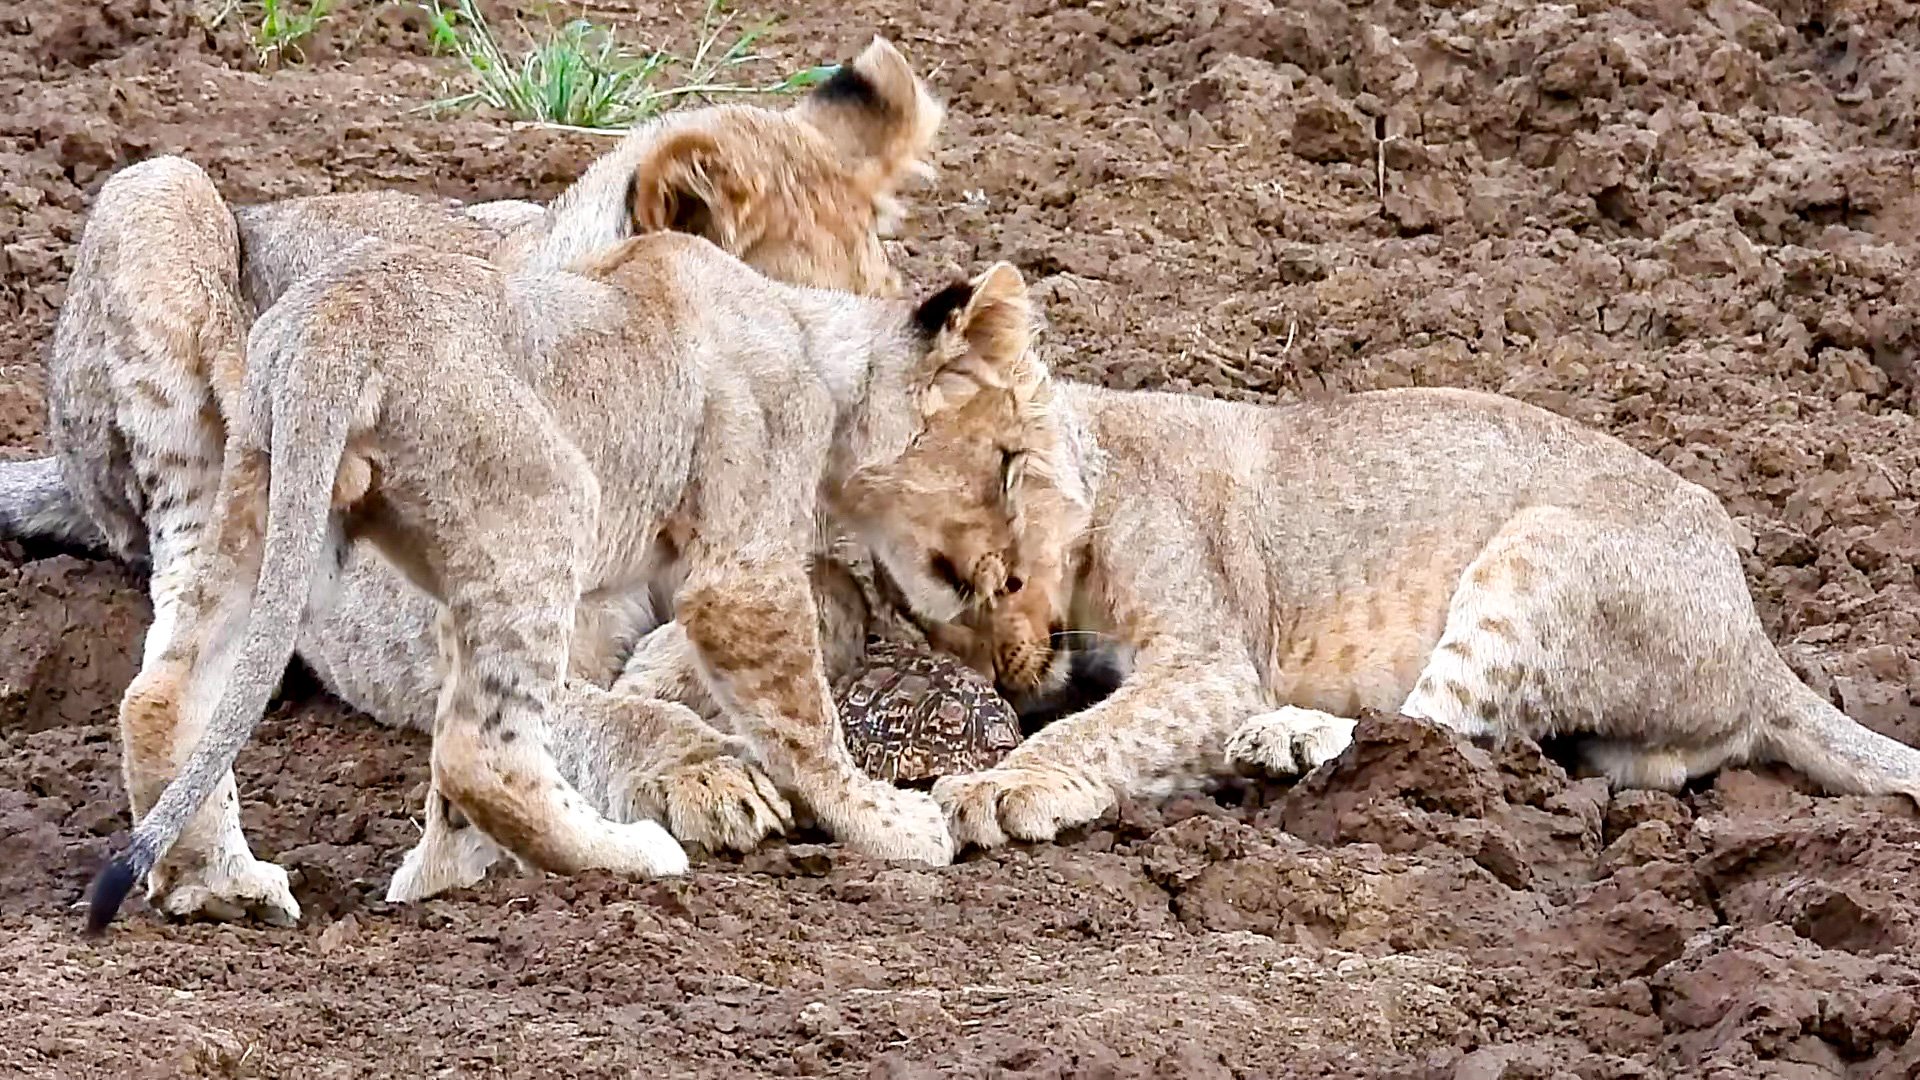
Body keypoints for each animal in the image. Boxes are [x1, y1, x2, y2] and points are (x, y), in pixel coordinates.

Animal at [79, 230, 1065, 934]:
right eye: (1011, 461)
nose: (1019, 585)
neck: (812, 341)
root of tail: (333, 320)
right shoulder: (739, 570)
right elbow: (803, 723)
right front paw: (891, 826)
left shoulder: (457, 587)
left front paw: (439, 878)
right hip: (548, 504)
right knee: (484, 750)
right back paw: (629, 857)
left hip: (273, 500)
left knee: (166, 695)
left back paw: (218, 886)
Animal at [909, 381, 1920, 851]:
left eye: (981, 567)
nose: (997, 670)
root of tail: (1756, 646)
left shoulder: (1214, 663)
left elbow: (1104, 728)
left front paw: (997, 785)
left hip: (1538, 550)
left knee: (1437, 725)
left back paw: (1293, 739)